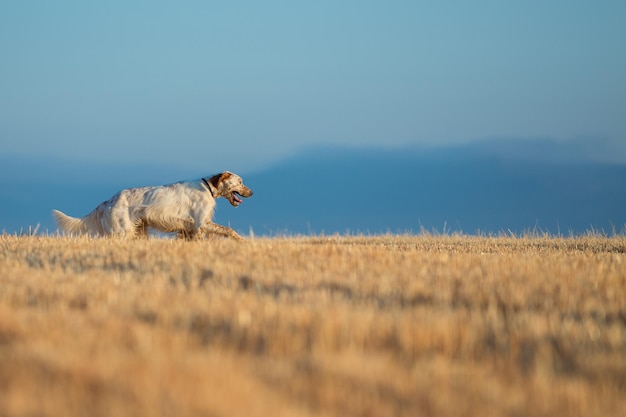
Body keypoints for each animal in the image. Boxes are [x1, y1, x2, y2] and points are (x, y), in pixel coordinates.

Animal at [51, 170, 251, 240]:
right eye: (240, 182)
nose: (252, 192)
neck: (208, 187)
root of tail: (108, 201)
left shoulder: (189, 228)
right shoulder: (201, 223)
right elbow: (229, 230)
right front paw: (242, 241)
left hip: (139, 230)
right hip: (123, 232)